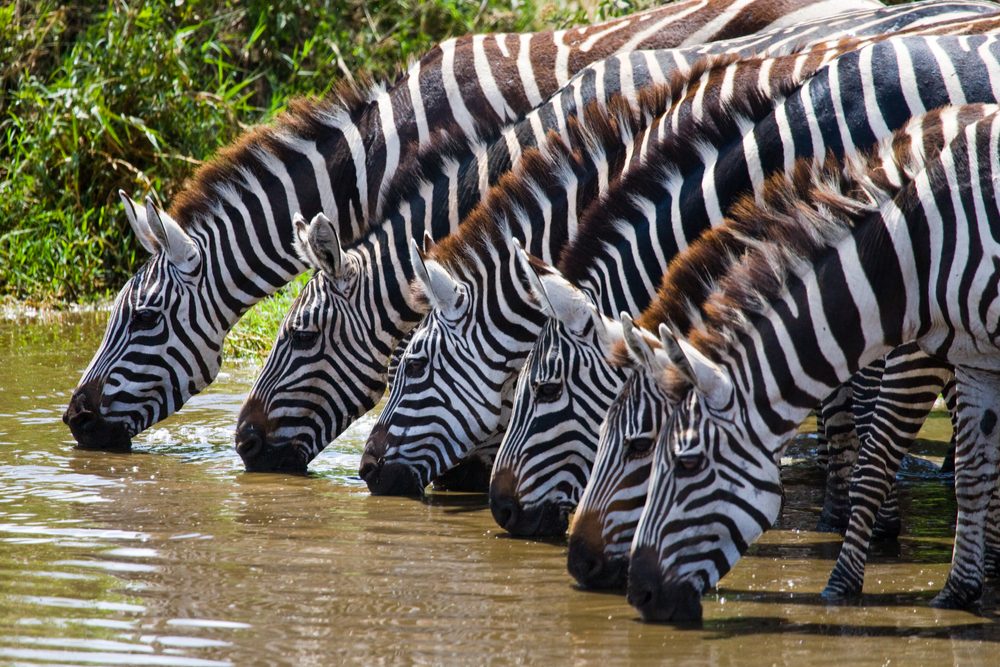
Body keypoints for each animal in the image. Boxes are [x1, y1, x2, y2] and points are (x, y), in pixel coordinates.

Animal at [628, 107, 1000, 624]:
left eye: (688, 463)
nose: (638, 593)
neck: (916, 255)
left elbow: (874, 461)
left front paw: (841, 584)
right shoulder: (978, 361)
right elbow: (973, 477)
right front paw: (958, 591)